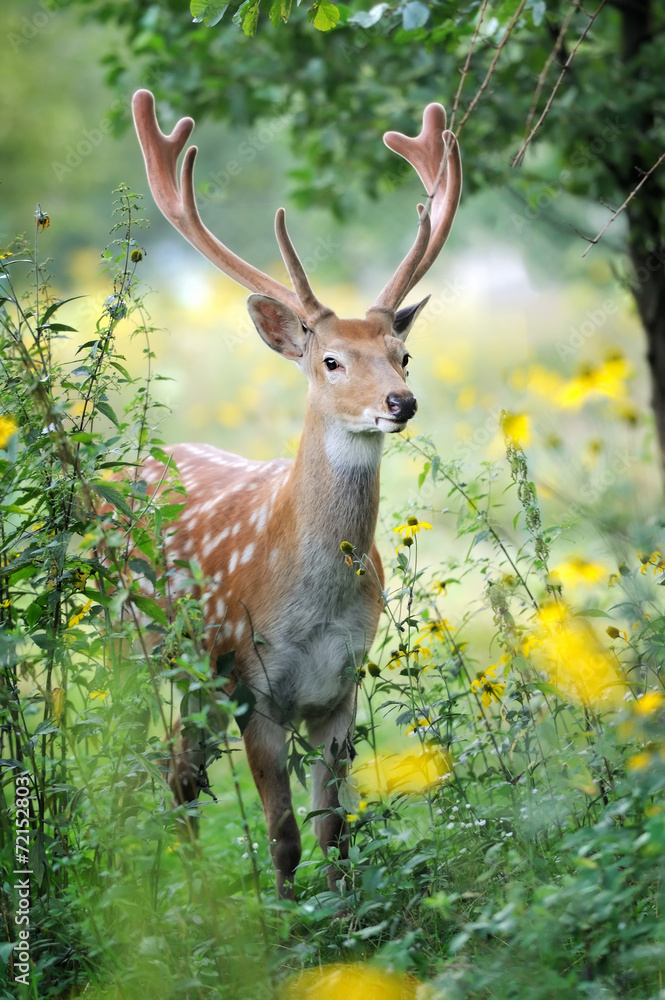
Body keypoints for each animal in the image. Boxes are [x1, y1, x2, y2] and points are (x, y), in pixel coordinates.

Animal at [130, 88, 462, 900]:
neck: (309, 606)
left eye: (403, 353)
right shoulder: (254, 686)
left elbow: (334, 831)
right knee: (157, 759)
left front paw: (344, 920)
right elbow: (283, 835)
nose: (402, 402)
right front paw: (283, 921)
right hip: (146, 646)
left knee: (181, 771)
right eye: (332, 360)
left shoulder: (340, 690)